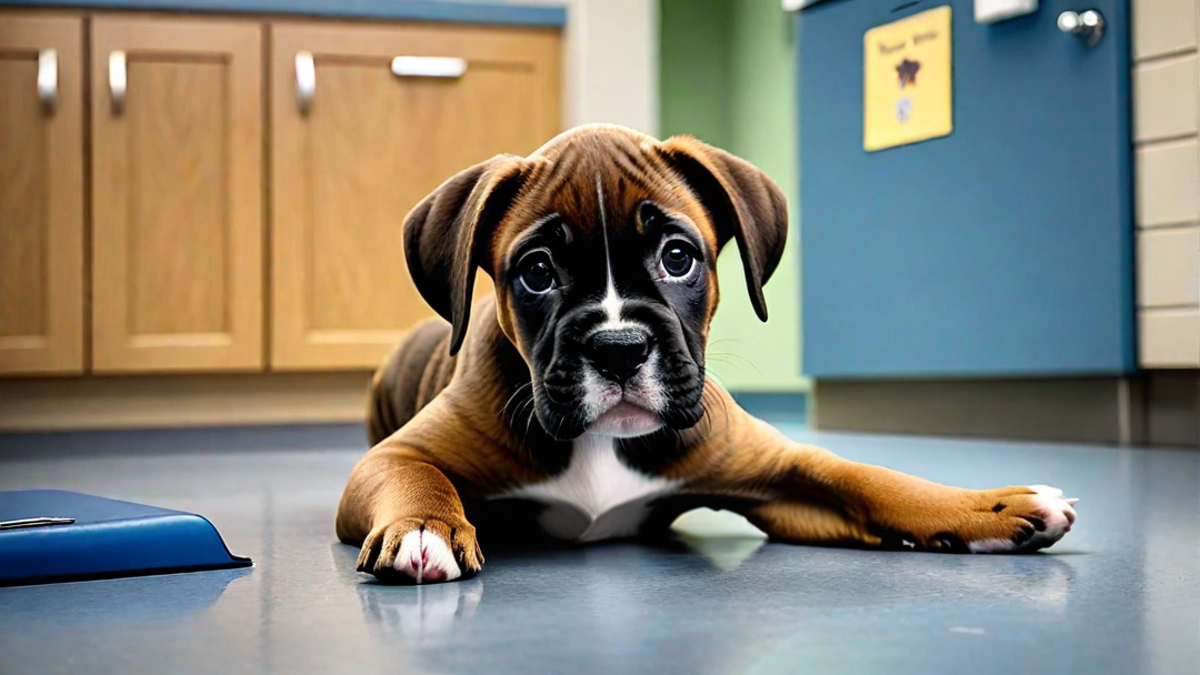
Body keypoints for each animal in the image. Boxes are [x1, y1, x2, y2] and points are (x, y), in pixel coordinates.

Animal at [336, 123, 1080, 581]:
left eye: (677, 257)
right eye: (538, 272)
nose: (619, 346)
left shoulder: (784, 473)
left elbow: (873, 479)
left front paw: (993, 507)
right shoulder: (391, 458)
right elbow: (417, 476)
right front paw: (424, 528)